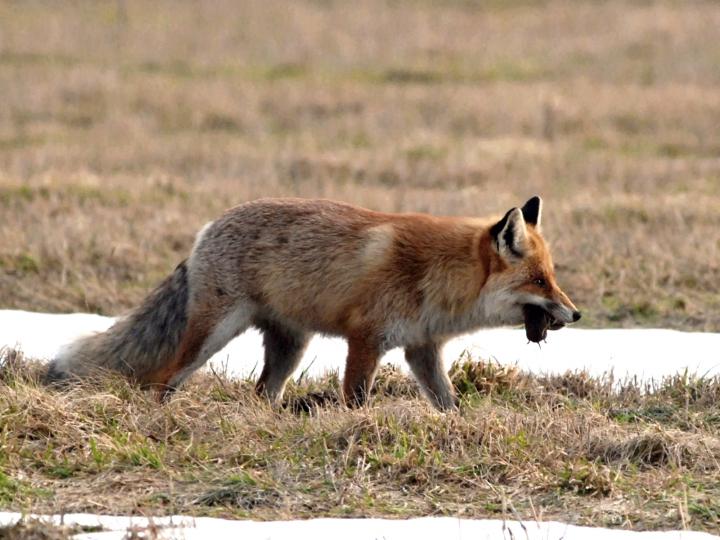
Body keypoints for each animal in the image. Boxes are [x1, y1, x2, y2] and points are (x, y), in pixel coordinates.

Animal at [45, 196, 580, 412]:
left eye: (553, 278)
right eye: (539, 280)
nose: (576, 314)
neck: (438, 278)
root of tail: (206, 229)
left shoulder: (421, 349)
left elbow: (448, 403)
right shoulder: (366, 340)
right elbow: (356, 398)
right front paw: (357, 429)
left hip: (291, 347)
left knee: (262, 393)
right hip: (211, 336)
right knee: (165, 381)